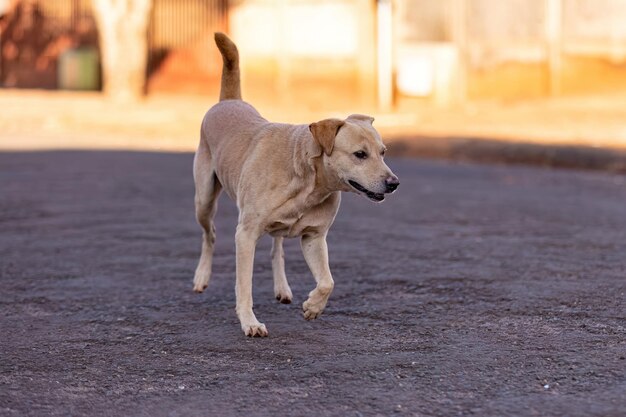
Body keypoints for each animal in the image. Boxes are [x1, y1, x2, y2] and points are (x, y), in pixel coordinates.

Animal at [191, 34, 400, 336]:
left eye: (383, 152)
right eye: (360, 154)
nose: (394, 183)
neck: (308, 180)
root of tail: (229, 100)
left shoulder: (314, 237)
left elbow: (327, 282)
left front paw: (313, 306)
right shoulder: (245, 235)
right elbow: (244, 286)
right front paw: (250, 322)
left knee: (276, 247)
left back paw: (282, 287)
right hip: (204, 200)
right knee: (211, 235)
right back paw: (202, 277)